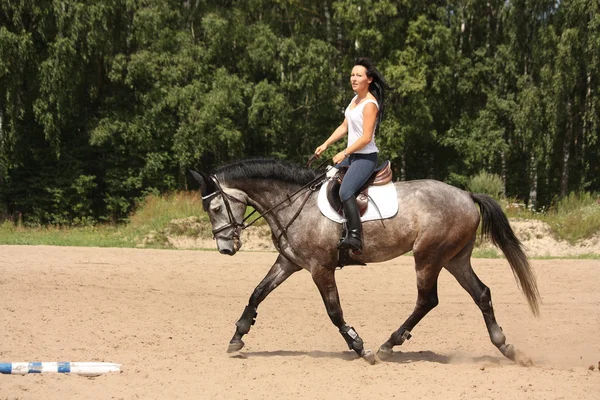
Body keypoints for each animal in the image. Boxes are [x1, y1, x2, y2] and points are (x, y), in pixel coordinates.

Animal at [191, 158, 540, 364]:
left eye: (216, 208)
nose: (225, 248)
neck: (292, 203)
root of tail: (467, 195)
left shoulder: (320, 268)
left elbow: (334, 311)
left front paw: (361, 347)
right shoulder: (289, 262)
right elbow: (258, 293)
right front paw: (237, 337)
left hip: (428, 257)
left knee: (427, 299)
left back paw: (388, 345)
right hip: (455, 259)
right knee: (481, 294)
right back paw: (505, 346)